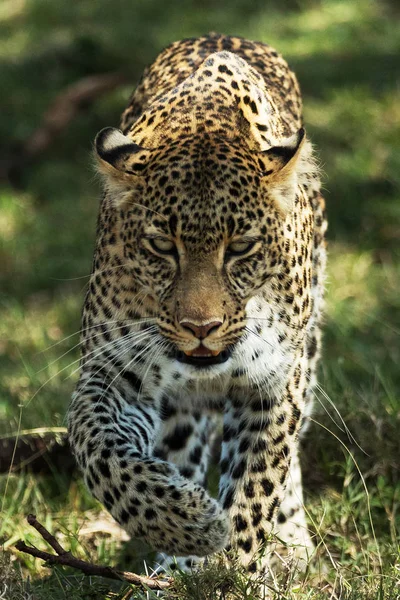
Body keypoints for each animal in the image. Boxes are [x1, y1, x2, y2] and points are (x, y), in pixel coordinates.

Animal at [67, 32, 326, 576]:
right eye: (162, 246)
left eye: (241, 247)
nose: (201, 326)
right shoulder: (117, 370)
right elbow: (97, 444)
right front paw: (187, 524)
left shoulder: (273, 380)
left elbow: (256, 485)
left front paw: (230, 569)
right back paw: (174, 560)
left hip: (308, 353)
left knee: (290, 454)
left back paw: (290, 542)